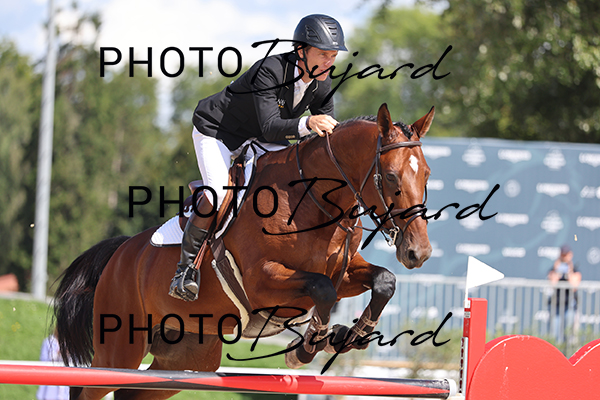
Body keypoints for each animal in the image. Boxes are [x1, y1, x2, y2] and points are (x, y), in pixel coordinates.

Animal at [54, 103, 434, 400]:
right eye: (390, 176)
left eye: (427, 175)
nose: (419, 253)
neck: (313, 201)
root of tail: (121, 253)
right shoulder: (262, 282)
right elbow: (321, 290)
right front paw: (307, 348)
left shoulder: (344, 271)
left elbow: (383, 281)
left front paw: (348, 336)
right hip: (120, 348)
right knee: (86, 387)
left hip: (189, 357)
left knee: (132, 391)